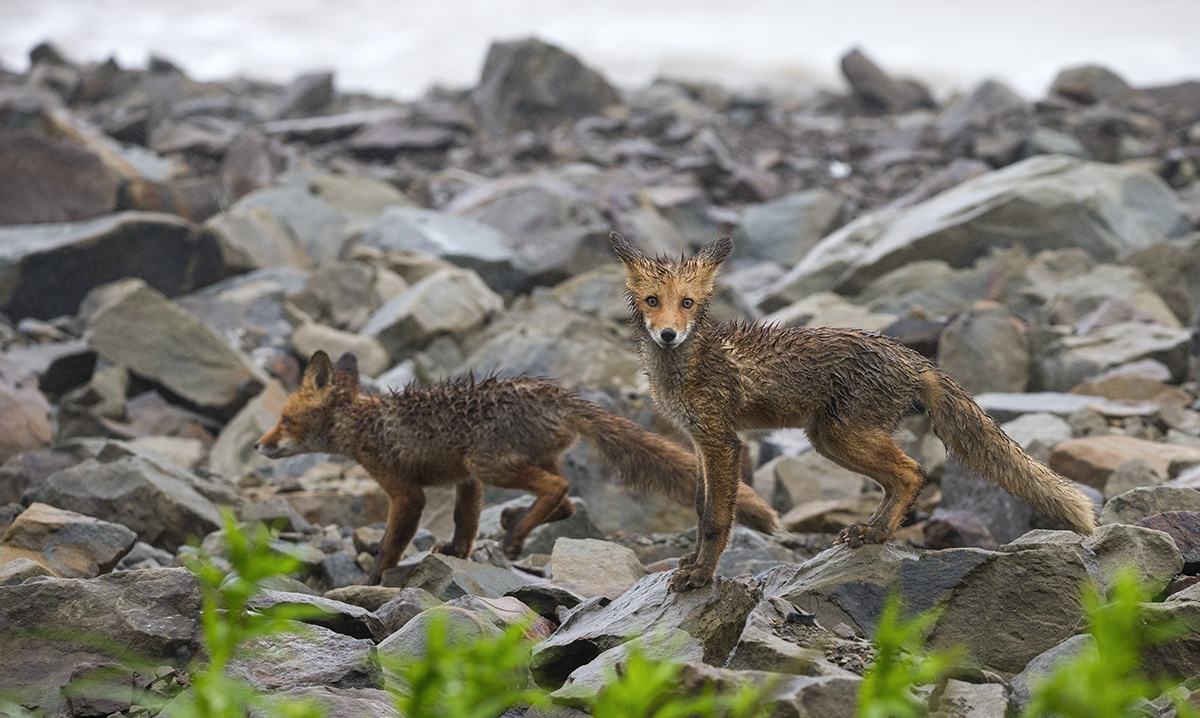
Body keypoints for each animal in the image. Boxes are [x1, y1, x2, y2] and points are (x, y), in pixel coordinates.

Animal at [254, 350, 782, 588]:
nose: (260, 445)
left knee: (559, 486)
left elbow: (388, 545)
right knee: (565, 500)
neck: (366, 425)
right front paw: (456, 554)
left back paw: (515, 535)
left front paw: (370, 583)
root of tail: (557, 395)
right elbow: (464, 527)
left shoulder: (408, 492)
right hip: (502, 464)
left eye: (286, 419)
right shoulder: (465, 483)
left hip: (490, 462)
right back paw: (517, 526)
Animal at [609, 234, 1099, 593]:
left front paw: (701, 575)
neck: (688, 367)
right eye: (653, 301)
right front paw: (692, 562)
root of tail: (912, 357)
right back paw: (874, 532)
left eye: (687, 303)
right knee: (902, 478)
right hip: (831, 440)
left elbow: (715, 520)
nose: (668, 334)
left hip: (841, 436)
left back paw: (875, 534)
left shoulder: (721, 442)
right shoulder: (698, 441)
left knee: (914, 472)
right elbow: (698, 510)